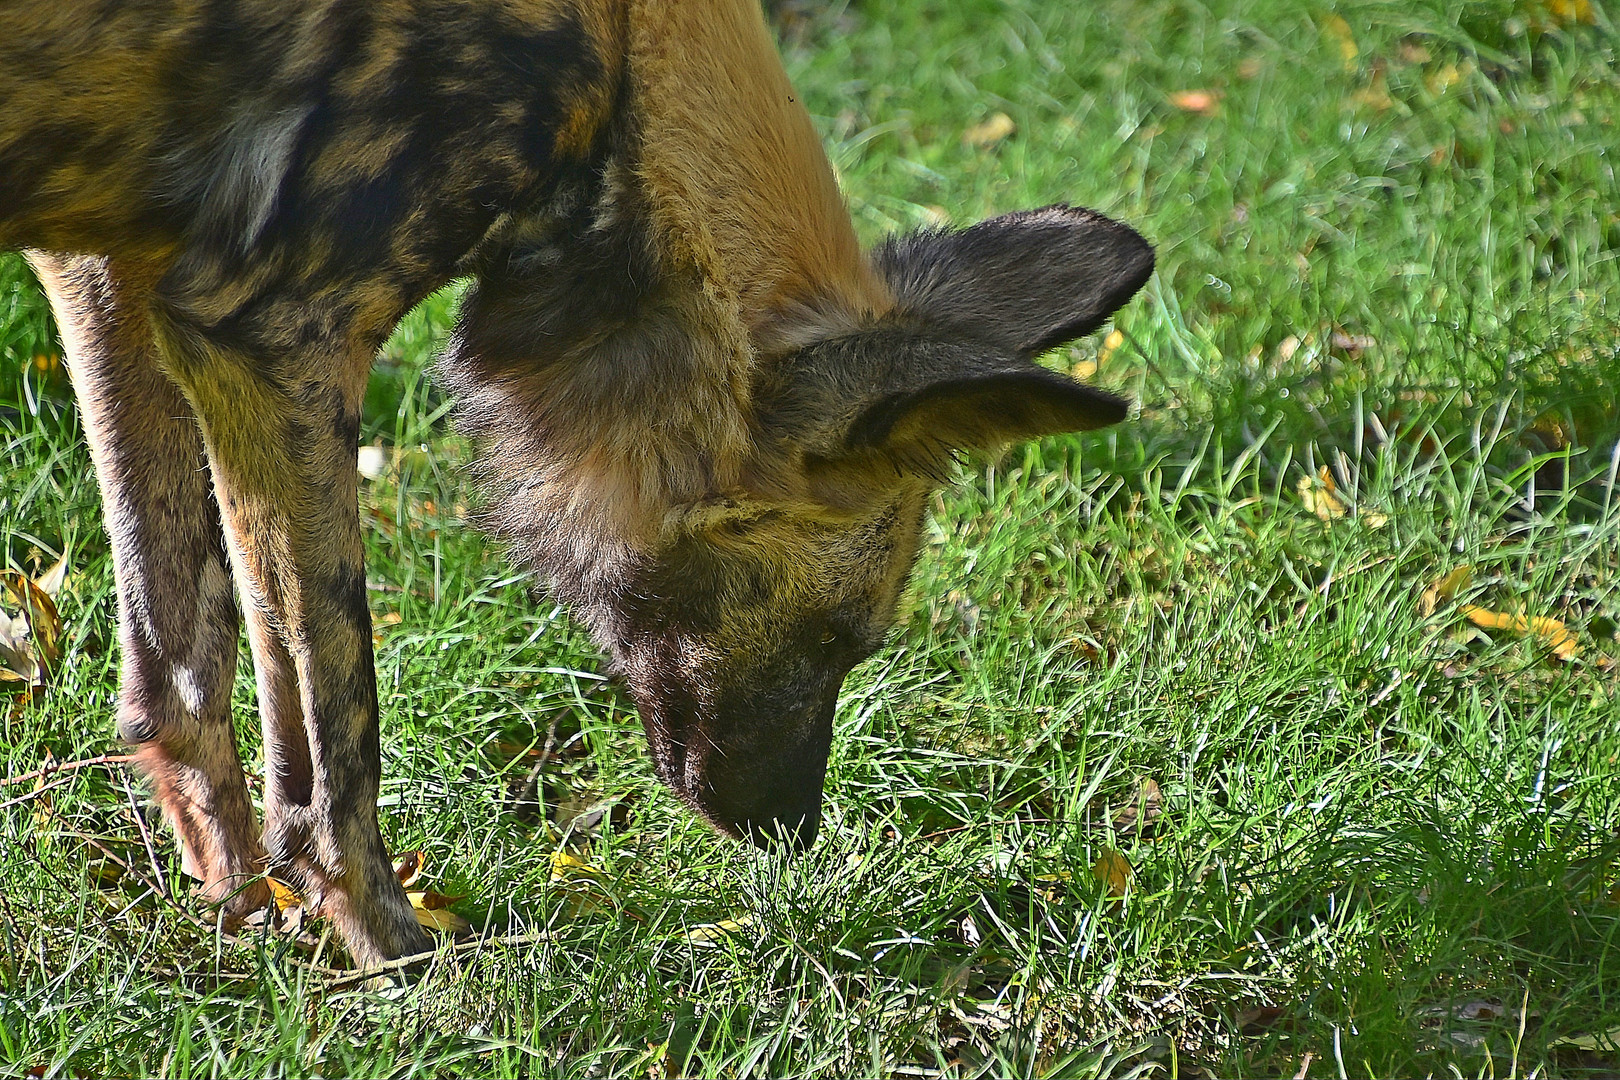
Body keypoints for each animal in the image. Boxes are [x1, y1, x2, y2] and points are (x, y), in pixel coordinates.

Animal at [6, 0, 1159, 965]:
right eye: (841, 638)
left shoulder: (115, 271)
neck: (620, 60)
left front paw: (242, 915)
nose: (793, 831)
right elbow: (337, 747)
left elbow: (179, 672)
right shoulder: (279, 336)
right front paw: (403, 968)